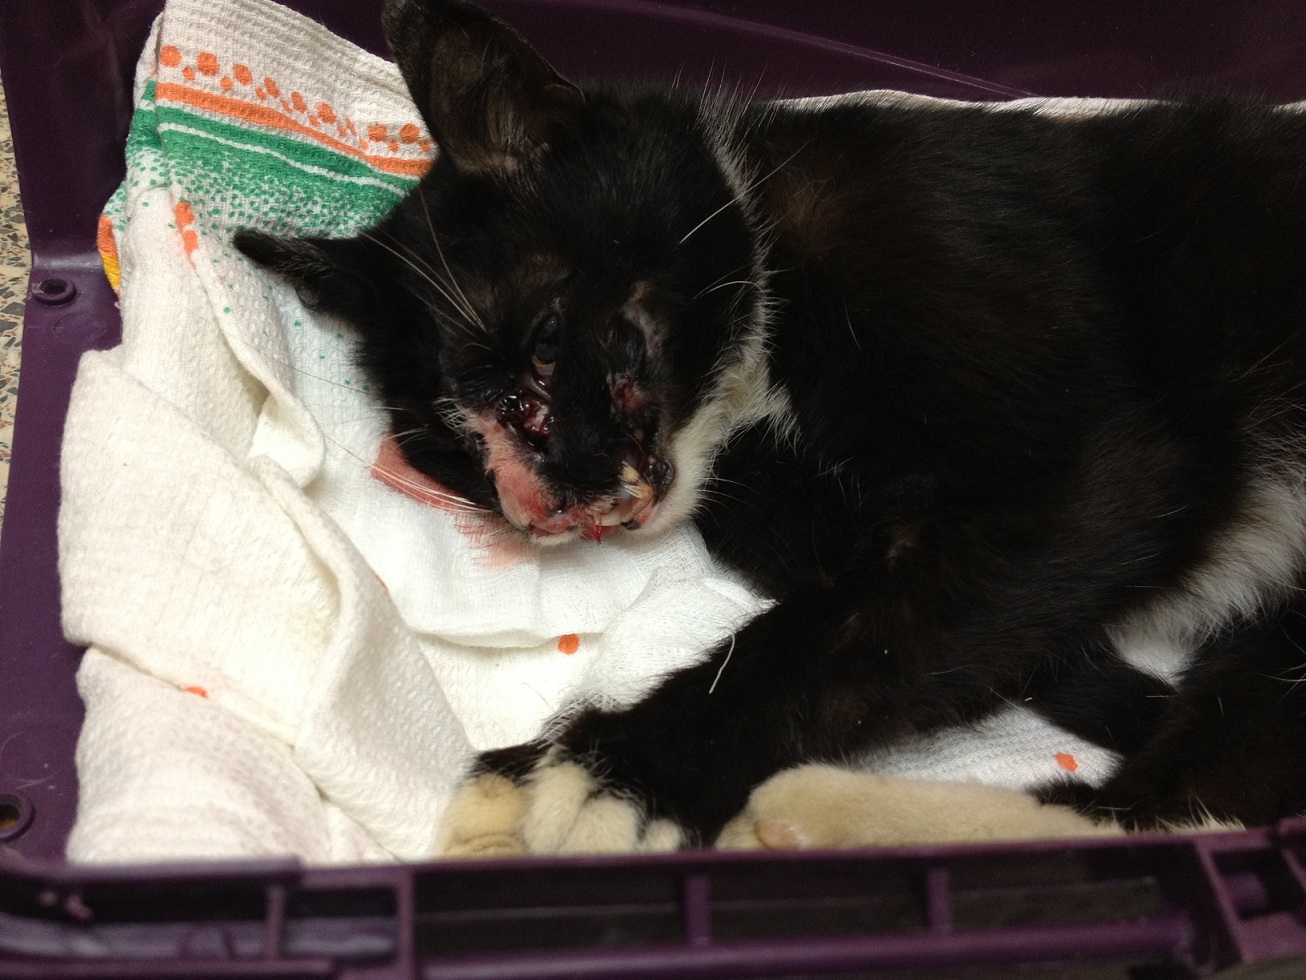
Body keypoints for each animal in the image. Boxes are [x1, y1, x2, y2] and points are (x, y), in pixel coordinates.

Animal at [236, 0, 1306, 854]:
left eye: (544, 349)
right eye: (450, 453)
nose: (541, 507)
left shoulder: (1044, 380)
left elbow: (869, 623)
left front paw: (604, 774)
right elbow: (847, 574)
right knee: (1205, 793)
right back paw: (820, 819)